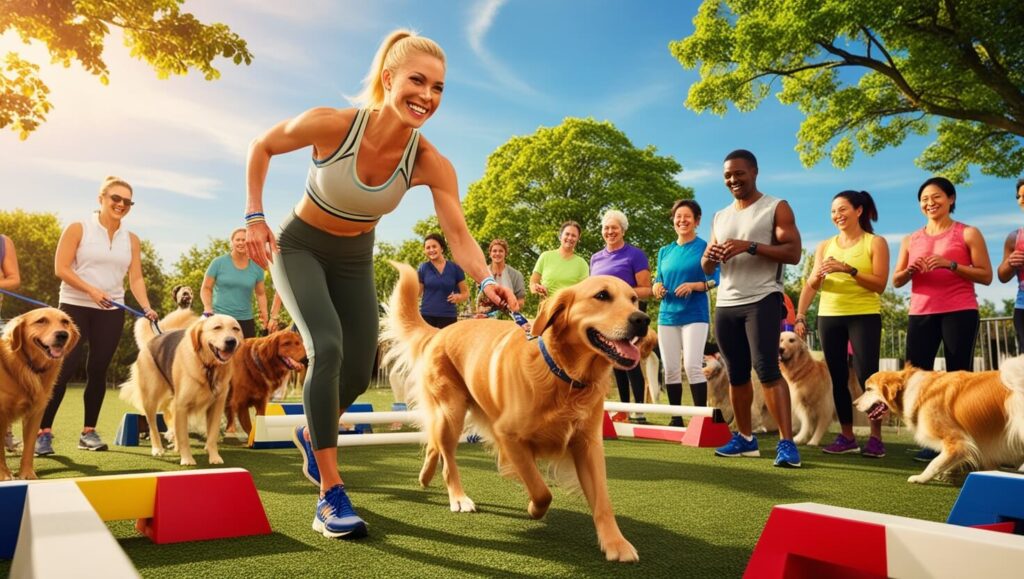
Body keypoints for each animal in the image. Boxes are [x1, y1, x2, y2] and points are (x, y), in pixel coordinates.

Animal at [0, 309, 78, 481]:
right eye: (41, 321)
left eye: (65, 322)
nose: (63, 335)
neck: (27, 366)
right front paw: (4, 475)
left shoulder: (35, 413)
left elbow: (29, 447)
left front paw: (27, 474)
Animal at [119, 311, 241, 465]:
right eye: (217, 327)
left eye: (236, 329)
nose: (231, 341)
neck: (208, 366)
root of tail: (154, 338)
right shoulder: (182, 405)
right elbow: (184, 437)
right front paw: (187, 459)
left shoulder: (216, 406)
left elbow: (212, 435)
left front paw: (214, 457)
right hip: (151, 398)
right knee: (152, 425)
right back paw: (157, 449)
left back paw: (175, 448)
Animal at [385, 262, 647, 561]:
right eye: (602, 295)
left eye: (634, 299)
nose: (643, 319)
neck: (562, 373)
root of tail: (440, 331)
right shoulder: (508, 437)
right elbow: (541, 490)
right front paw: (535, 509)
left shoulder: (588, 443)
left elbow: (602, 500)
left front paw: (616, 543)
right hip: (451, 411)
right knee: (447, 458)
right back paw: (459, 498)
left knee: (433, 445)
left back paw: (425, 477)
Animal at [851, 358, 1024, 485]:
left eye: (869, 389)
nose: (853, 404)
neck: (908, 388)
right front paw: (950, 471)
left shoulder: (957, 441)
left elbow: (935, 463)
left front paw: (920, 478)